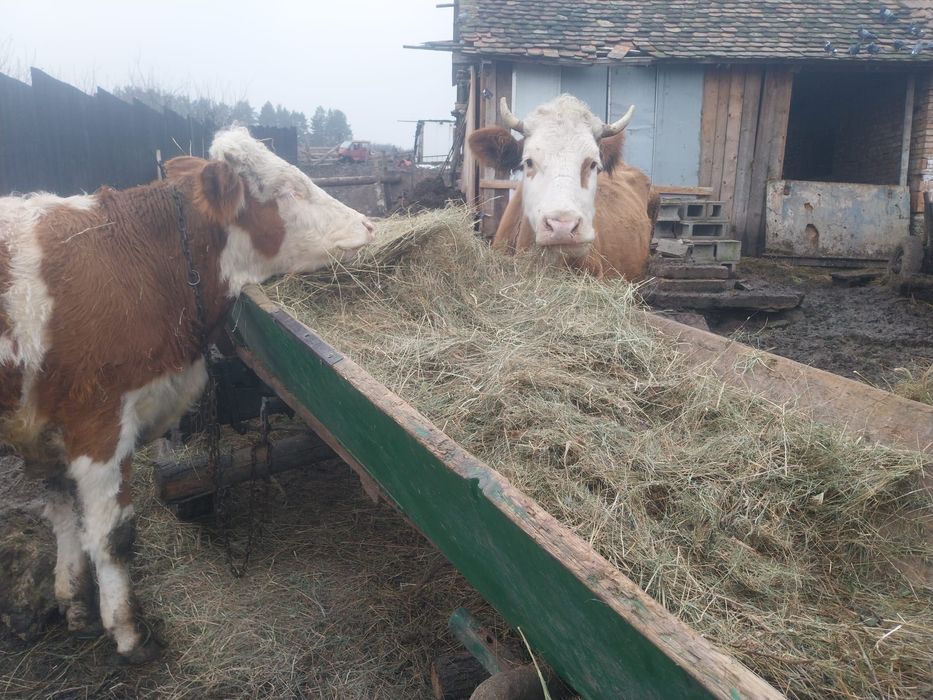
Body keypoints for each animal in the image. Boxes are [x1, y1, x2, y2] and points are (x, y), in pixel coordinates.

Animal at [0, 127, 374, 662]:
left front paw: (73, 603)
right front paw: (128, 633)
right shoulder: (98, 422)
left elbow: (64, 514)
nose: (369, 225)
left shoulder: (45, 424)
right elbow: (113, 534)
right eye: (286, 191)